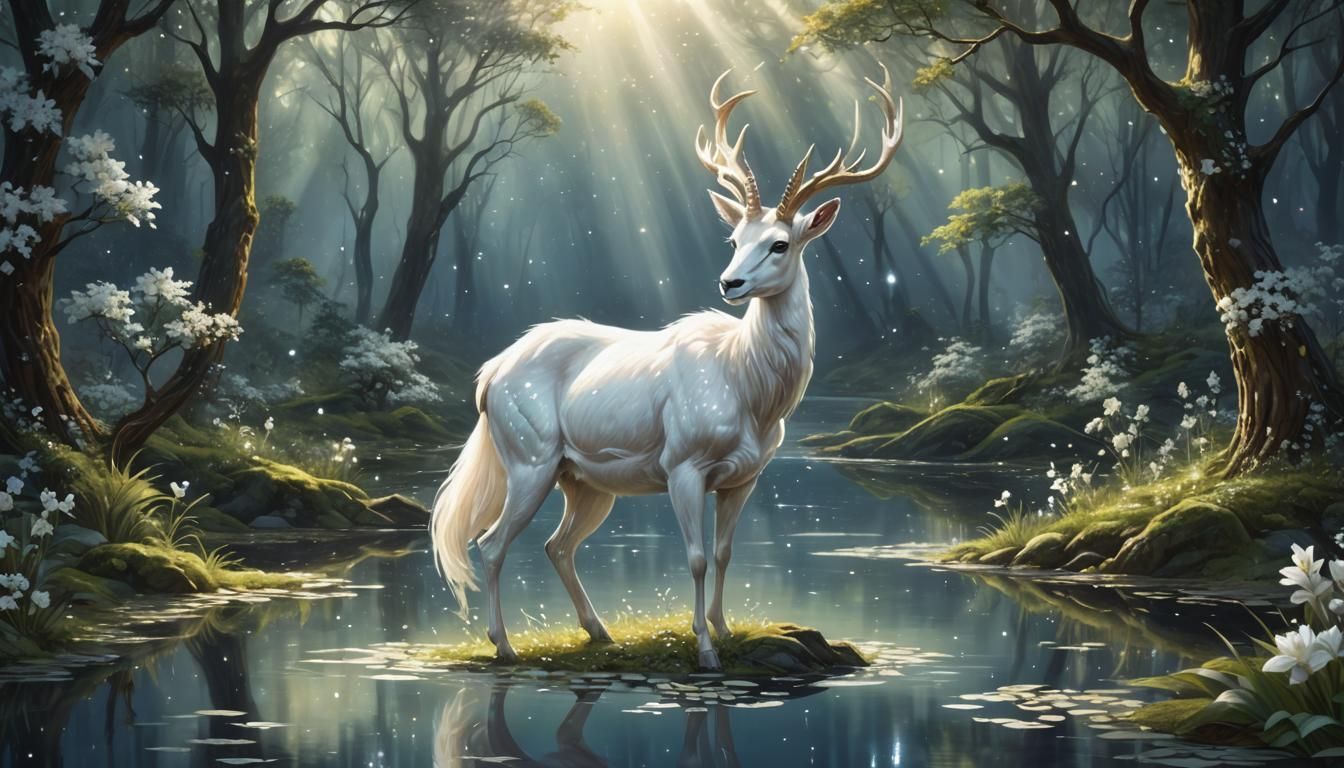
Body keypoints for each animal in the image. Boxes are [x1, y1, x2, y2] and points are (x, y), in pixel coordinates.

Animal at [430, 66, 903, 669]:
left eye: (779, 243)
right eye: (733, 238)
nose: (730, 282)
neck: (749, 390)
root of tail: (488, 375)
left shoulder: (746, 476)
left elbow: (724, 553)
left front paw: (725, 630)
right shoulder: (682, 464)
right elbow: (696, 557)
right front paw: (704, 651)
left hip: (583, 481)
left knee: (557, 544)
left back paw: (600, 632)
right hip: (529, 458)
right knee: (490, 543)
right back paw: (507, 647)